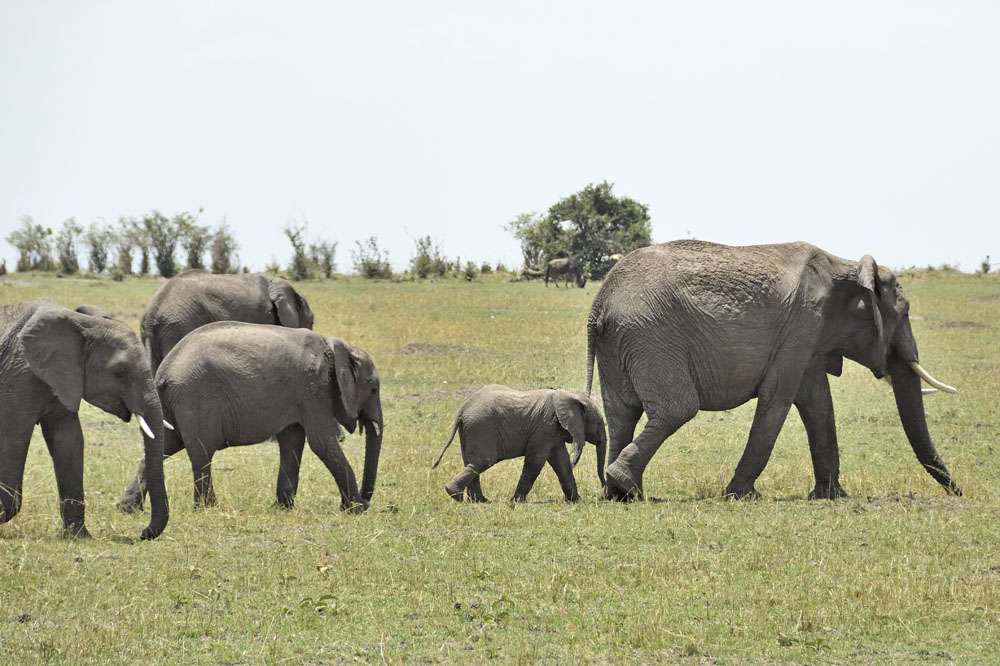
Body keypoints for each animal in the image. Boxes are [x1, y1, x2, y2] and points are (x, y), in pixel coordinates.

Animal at [0, 299, 168, 539]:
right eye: (120, 371)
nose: (143, 534)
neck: (83, 325)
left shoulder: (64, 379)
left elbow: (68, 440)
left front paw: (78, 537)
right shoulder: (18, 376)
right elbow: (13, 437)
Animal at [116, 322, 383, 514]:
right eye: (373, 387)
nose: (367, 497)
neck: (336, 350)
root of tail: (163, 370)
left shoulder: (301, 396)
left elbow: (293, 441)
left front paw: (284, 508)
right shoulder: (314, 390)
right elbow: (322, 443)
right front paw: (358, 508)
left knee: (165, 446)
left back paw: (128, 508)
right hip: (195, 398)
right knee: (201, 451)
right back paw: (208, 508)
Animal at [432, 385, 607, 502]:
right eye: (599, 423)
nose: (603, 493)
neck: (570, 396)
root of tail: (462, 410)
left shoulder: (552, 431)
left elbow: (561, 462)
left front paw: (575, 501)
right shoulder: (545, 425)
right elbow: (536, 460)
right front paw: (515, 501)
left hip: (469, 429)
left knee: (471, 462)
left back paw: (479, 501)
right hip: (480, 426)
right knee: (484, 461)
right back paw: (456, 495)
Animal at [585, 240, 961, 501]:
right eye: (904, 313)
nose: (959, 492)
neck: (848, 267)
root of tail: (599, 304)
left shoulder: (811, 338)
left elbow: (818, 406)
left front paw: (831, 497)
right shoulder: (804, 323)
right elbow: (777, 398)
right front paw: (741, 496)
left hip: (622, 340)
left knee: (622, 414)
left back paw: (618, 494)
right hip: (651, 335)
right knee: (677, 409)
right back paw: (625, 486)